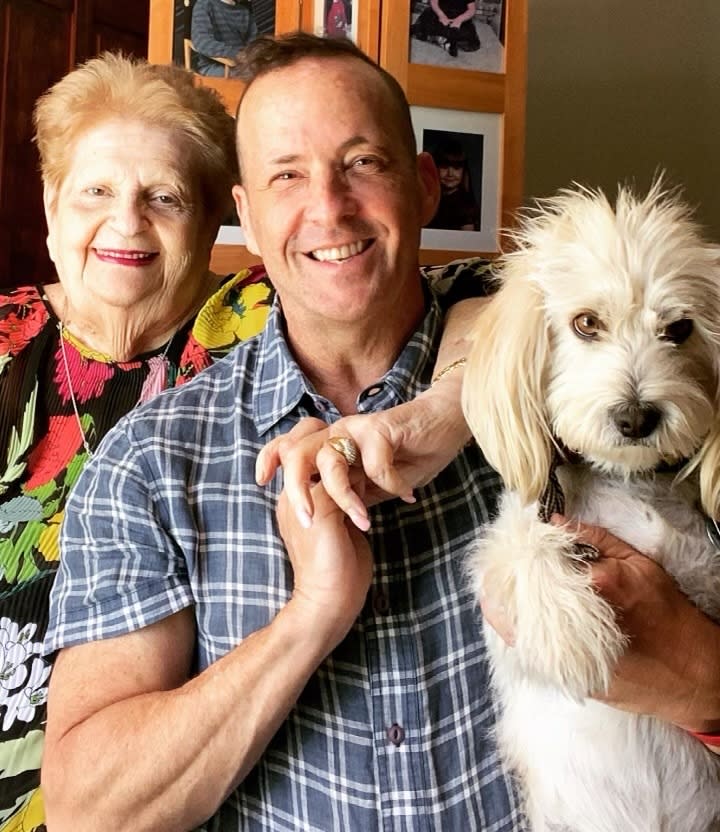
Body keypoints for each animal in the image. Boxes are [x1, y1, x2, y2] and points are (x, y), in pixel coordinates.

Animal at [462, 184, 720, 832]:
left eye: (680, 328)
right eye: (585, 323)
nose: (636, 417)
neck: (630, 481)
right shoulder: (508, 553)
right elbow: (517, 546)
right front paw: (571, 629)